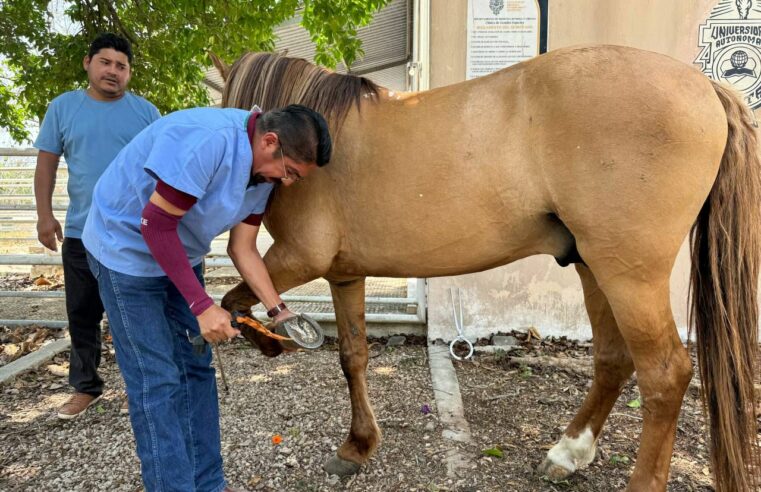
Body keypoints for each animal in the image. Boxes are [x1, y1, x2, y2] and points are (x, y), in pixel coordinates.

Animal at [211, 44, 760, 490]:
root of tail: (705, 86)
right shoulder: (345, 273)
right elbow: (353, 357)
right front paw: (357, 446)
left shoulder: (297, 258)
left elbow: (233, 300)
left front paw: (265, 340)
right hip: (594, 267)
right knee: (612, 360)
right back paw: (568, 452)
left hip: (630, 275)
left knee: (665, 375)